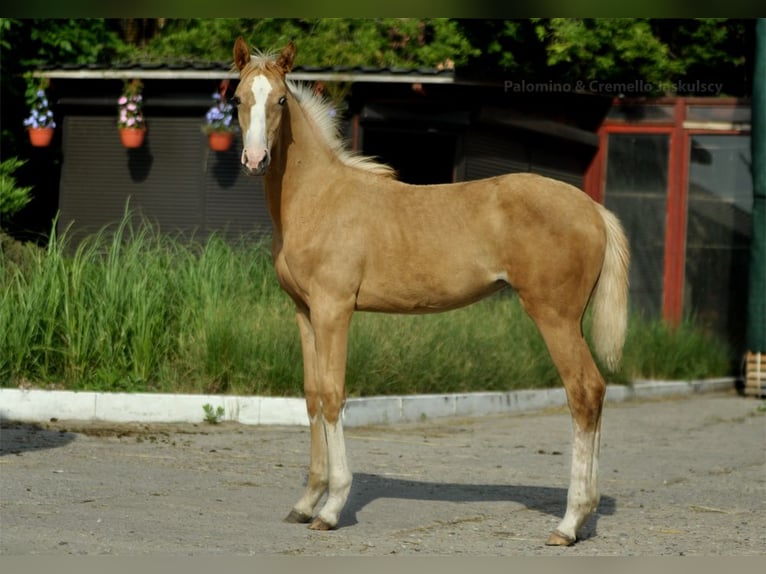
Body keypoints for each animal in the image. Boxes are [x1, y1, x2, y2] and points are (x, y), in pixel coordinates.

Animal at [232, 37, 632, 548]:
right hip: (570, 319)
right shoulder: (304, 311)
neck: (319, 198)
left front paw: (332, 508)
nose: (255, 160)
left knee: (583, 392)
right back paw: (583, 516)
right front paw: (306, 503)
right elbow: (312, 396)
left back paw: (568, 523)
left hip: (554, 316)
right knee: (596, 391)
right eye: (239, 99)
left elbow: (334, 395)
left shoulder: (333, 309)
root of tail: (592, 209)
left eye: (281, 100)